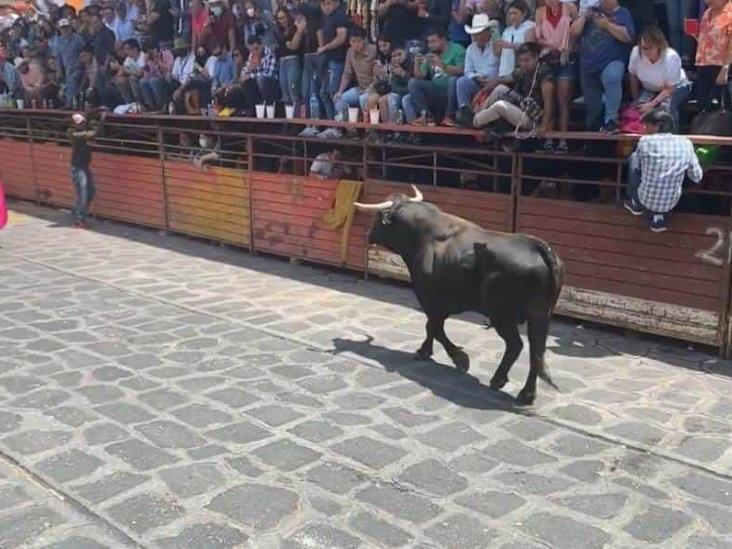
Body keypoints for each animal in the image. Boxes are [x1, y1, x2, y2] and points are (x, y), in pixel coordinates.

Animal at [354, 186, 568, 404]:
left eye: (378, 217)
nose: (369, 235)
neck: (423, 234)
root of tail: (538, 247)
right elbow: (432, 327)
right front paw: (426, 351)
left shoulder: (430, 298)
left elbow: (434, 327)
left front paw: (458, 358)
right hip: (540, 315)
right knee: (537, 351)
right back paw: (527, 394)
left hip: (503, 315)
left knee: (516, 345)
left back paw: (499, 380)